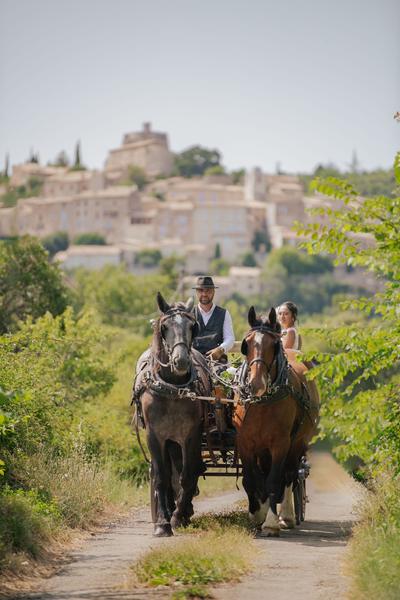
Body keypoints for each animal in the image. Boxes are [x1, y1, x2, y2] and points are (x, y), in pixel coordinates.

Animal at [134, 290, 211, 536]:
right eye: (165, 327)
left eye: (192, 326)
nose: (181, 361)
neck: (172, 388)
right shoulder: (154, 436)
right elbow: (161, 477)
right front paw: (162, 523)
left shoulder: (192, 435)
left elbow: (187, 475)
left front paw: (178, 516)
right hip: (168, 440)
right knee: (167, 474)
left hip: (177, 440)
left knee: (180, 470)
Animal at [234, 308, 318, 536]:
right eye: (247, 344)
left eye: (274, 344)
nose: (256, 384)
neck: (263, 400)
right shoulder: (244, 442)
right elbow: (251, 479)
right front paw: (257, 513)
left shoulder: (280, 444)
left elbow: (273, 481)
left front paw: (270, 523)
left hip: (297, 443)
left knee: (289, 475)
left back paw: (286, 516)